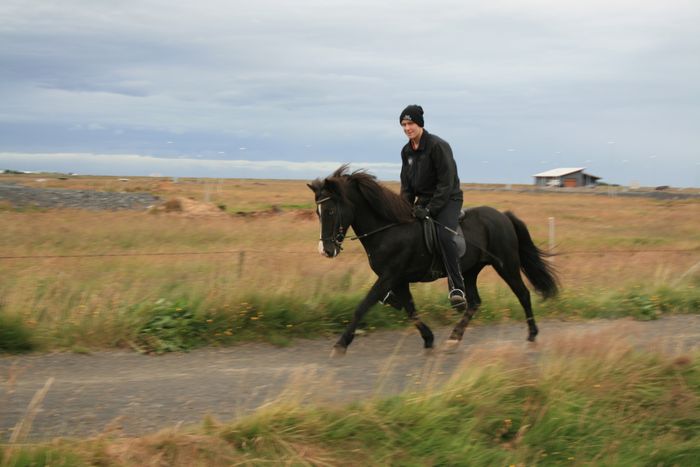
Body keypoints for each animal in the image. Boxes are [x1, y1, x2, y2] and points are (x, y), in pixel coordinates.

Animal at [308, 165, 556, 354]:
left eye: (330, 211)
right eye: (318, 212)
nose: (325, 250)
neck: (389, 229)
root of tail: (503, 216)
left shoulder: (389, 277)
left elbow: (363, 306)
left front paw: (341, 343)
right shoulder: (399, 281)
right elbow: (410, 309)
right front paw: (428, 338)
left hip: (506, 265)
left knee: (523, 294)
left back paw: (532, 335)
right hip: (469, 271)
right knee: (474, 302)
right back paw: (455, 336)